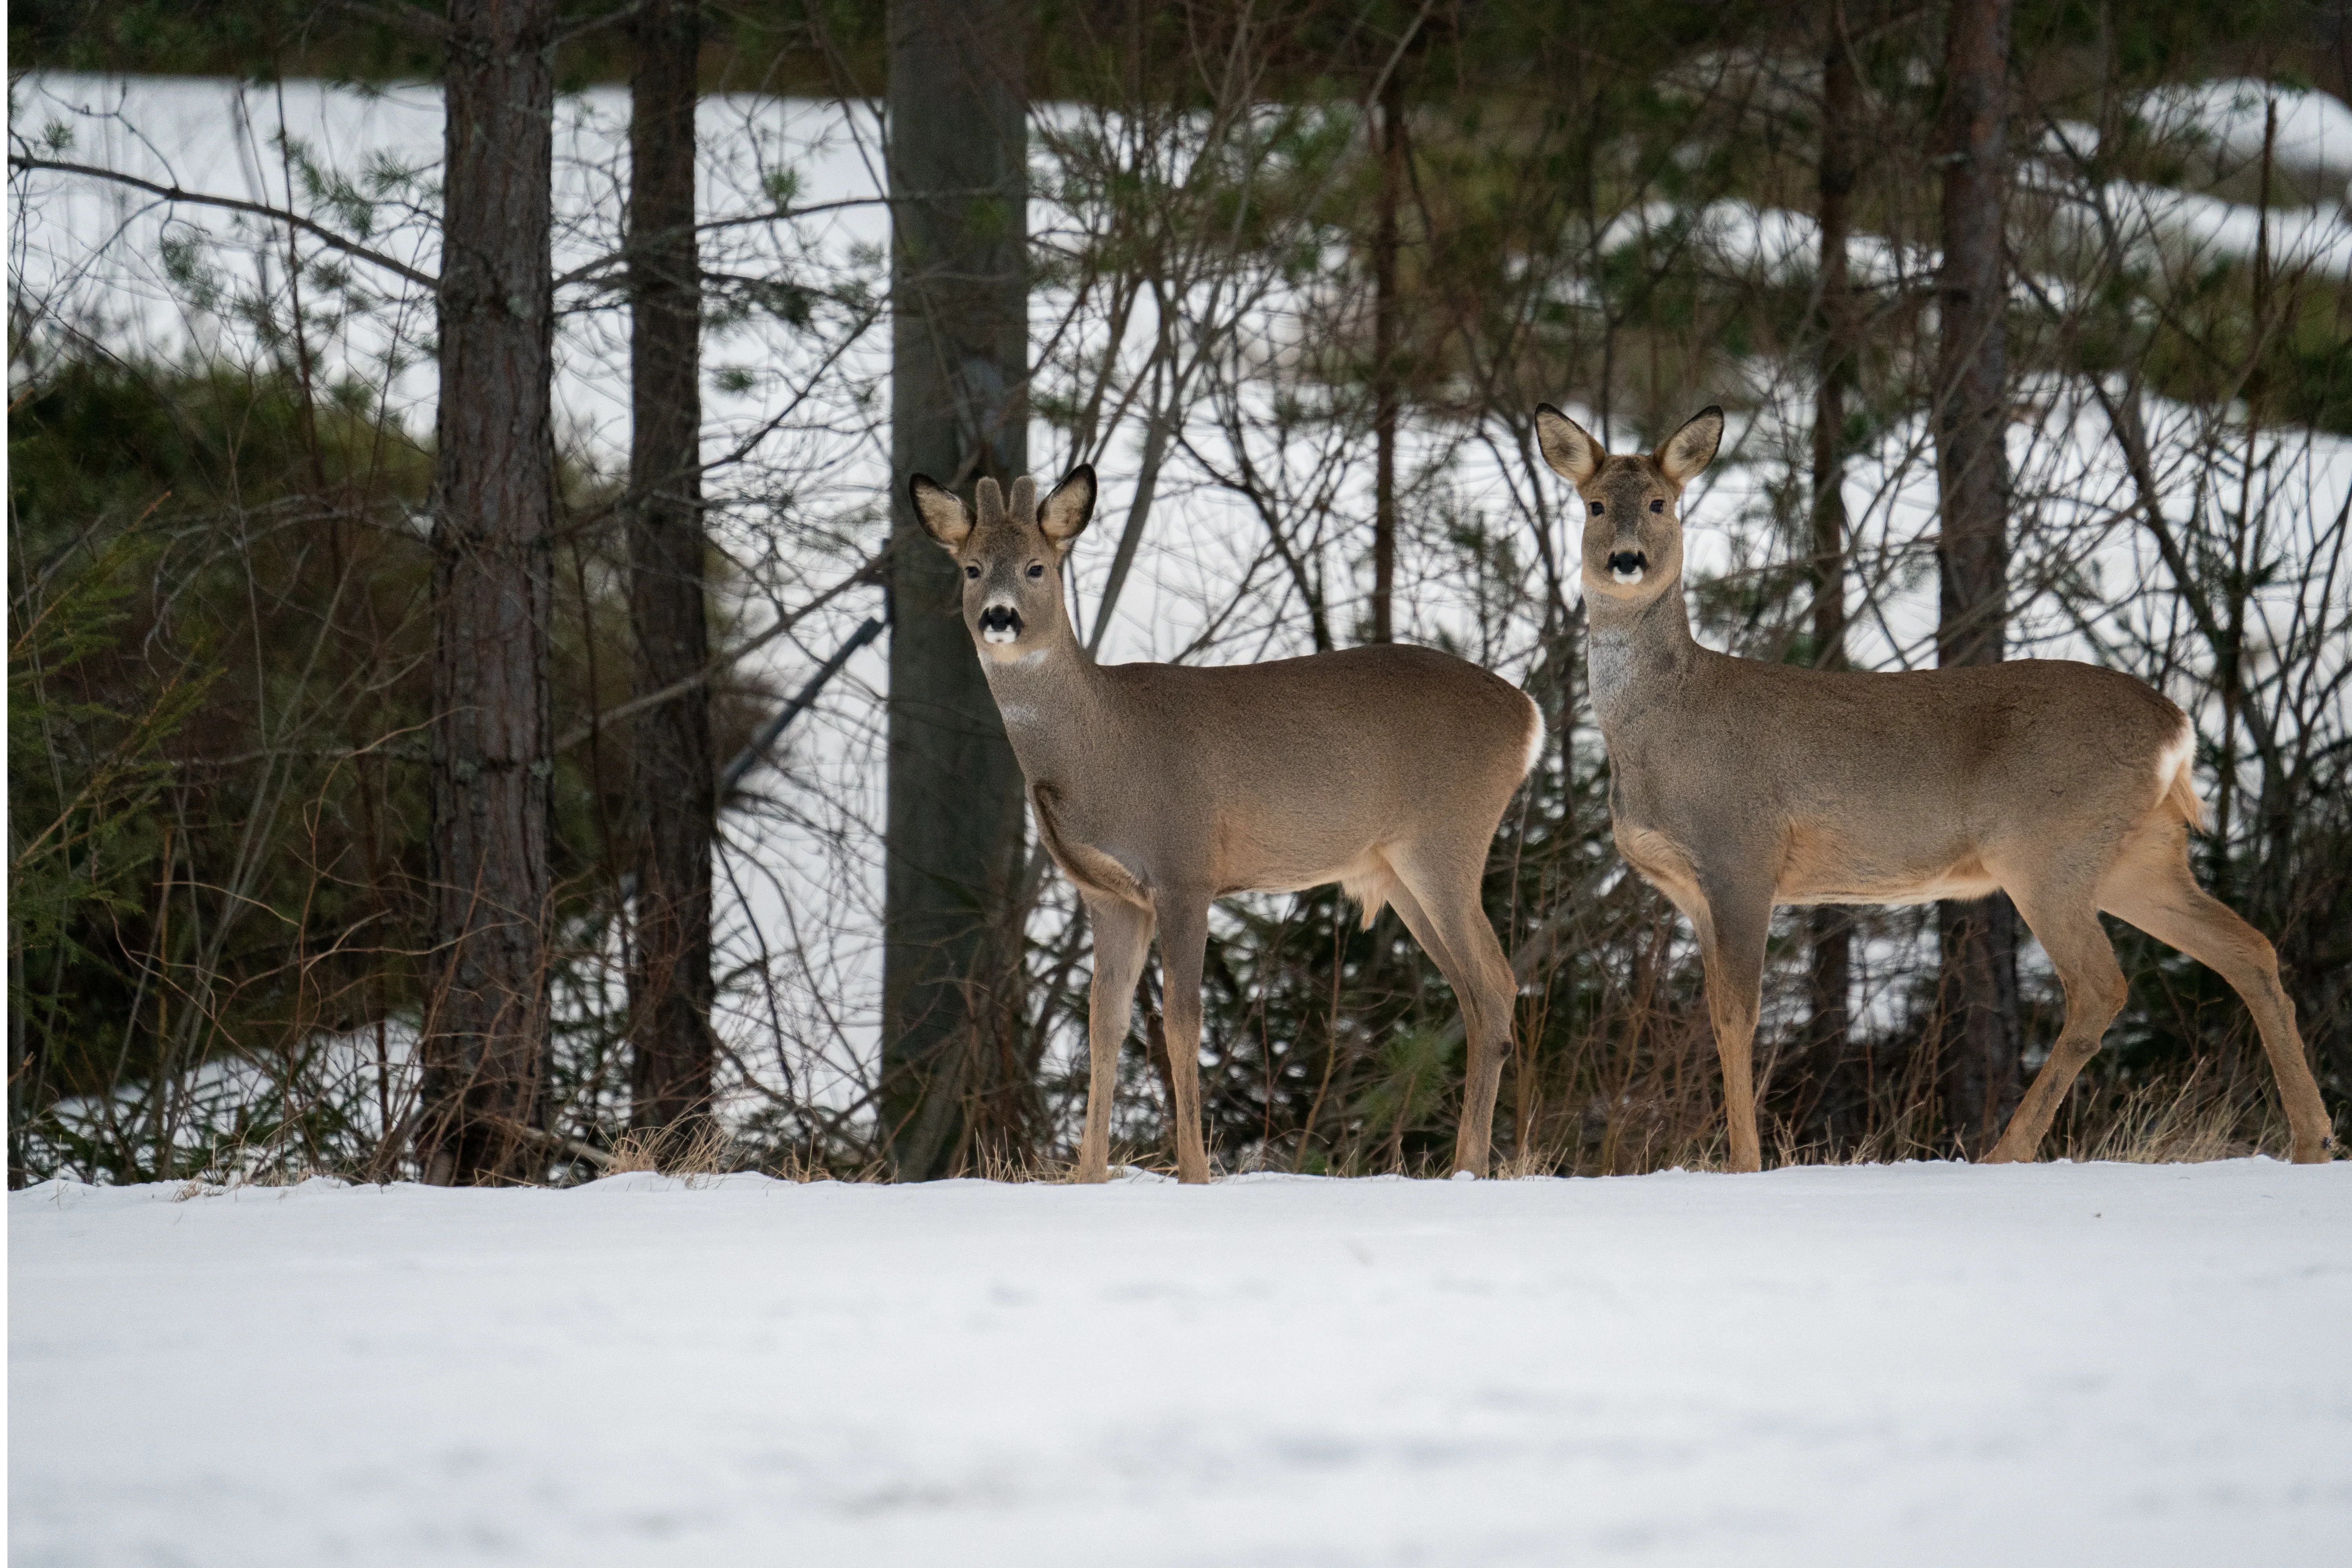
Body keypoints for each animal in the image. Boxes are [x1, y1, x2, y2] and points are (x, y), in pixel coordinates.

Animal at [908, 467, 1543, 1183]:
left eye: (1037, 567)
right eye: (971, 568)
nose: (1000, 616)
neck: (1101, 750)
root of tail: (1528, 716)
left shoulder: (1185, 871)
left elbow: (1182, 1024)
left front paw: (1194, 1172)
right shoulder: (1109, 895)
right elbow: (1105, 1026)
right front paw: (1090, 1176)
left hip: (1448, 841)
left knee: (1496, 985)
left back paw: (1471, 1167)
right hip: (1402, 870)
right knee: (1473, 992)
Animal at [1533, 401, 2335, 1172]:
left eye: (1661, 502)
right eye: (1595, 505)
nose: (1627, 559)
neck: (1666, 726)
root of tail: (2178, 727)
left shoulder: (1741, 855)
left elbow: (1739, 1017)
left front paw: (1743, 1166)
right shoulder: (1693, 890)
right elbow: (1719, 1017)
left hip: (2049, 847)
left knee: (2102, 985)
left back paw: (2006, 1151)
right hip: (2135, 854)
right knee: (2248, 949)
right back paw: (2313, 1139)